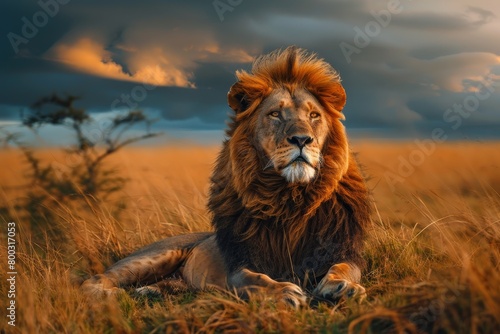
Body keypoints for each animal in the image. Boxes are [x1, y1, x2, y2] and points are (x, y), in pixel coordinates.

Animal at [81, 47, 372, 308]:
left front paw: (343, 287)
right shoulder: (240, 263)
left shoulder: (340, 249)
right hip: (151, 257)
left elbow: (345, 268)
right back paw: (113, 295)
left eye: (314, 115)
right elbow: (254, 279)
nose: (302, 139)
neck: (290, 197)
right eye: (275, 114)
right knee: (93, 279)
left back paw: (150, 292)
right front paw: (282, 292)